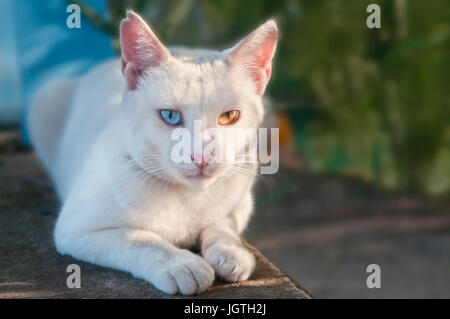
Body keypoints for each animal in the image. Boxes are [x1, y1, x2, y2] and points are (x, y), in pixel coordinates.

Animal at [27, 11, 278, 296]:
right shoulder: (77, 228)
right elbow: (140, 239)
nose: (201, 156)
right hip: (45, 99)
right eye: (170, 116)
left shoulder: (241, 201)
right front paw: (182, 265)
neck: (187, 198)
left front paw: (230, 252)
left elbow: (223, 225)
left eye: (229, 116)